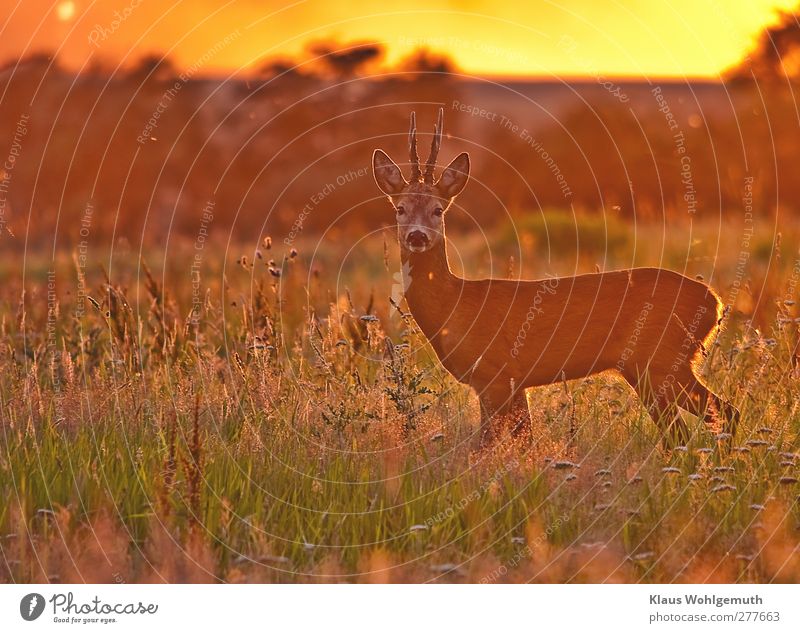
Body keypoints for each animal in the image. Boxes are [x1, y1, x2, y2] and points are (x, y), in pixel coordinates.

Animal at [372, 107, 740, 450]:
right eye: (400, 209)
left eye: (438, 209)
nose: (417, 236)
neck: (455, 305)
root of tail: (714, 302)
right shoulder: (516, 382)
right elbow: (523, 441)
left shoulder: (494, 375)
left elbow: (485, 447)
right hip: (651, 367)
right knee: (706, 421)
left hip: (660, 360)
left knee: (711, 418)